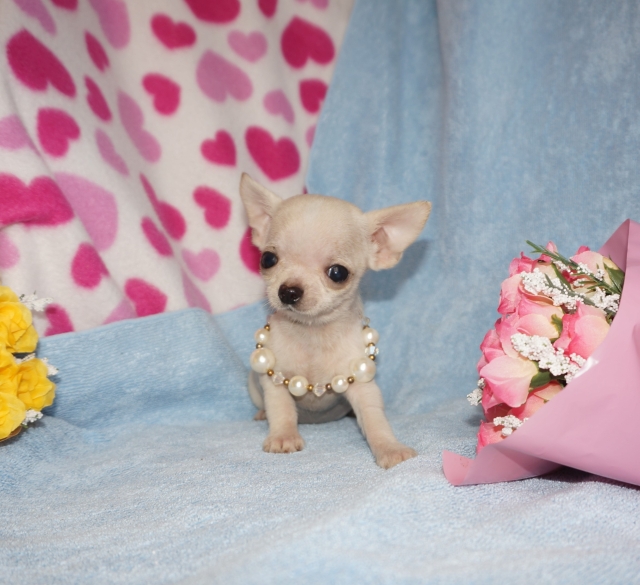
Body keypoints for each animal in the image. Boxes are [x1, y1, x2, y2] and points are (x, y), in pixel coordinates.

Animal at [240, 173, 431, 469]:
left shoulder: (363, 388)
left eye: (337, 273)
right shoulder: (275, 381)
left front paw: (389, 448)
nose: (288, 291)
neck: (313, 333)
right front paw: (283, 436)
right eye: (267, 259)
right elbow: (281, 409)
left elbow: (374, 420)